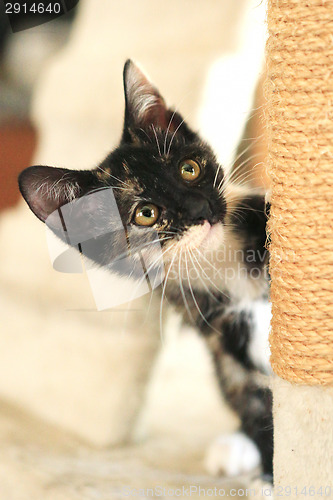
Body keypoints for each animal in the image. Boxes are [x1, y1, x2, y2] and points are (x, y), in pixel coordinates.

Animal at [18, 60, 272, 482]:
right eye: (145, 214)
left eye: (189, 169)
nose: (202, 209)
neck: (220, 263)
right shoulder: (219, 331)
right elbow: (255, 400)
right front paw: (270, 474)